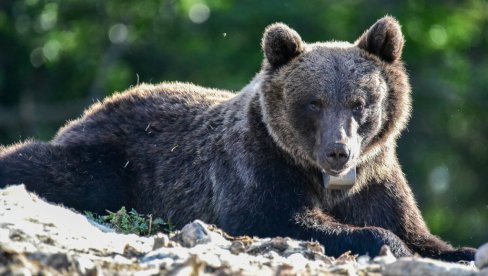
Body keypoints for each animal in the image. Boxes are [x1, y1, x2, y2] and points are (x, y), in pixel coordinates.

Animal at [0, 16, 474, 262]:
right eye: (314, 102)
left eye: (360, 102)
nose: (337, 152)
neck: (328, 181)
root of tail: (94, 107)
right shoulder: (258, 164)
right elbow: (277, 216)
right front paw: (385, 242)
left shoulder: (376, 178)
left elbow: (415, 230)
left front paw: (460, 250)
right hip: (115, 158)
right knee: (54, 166)